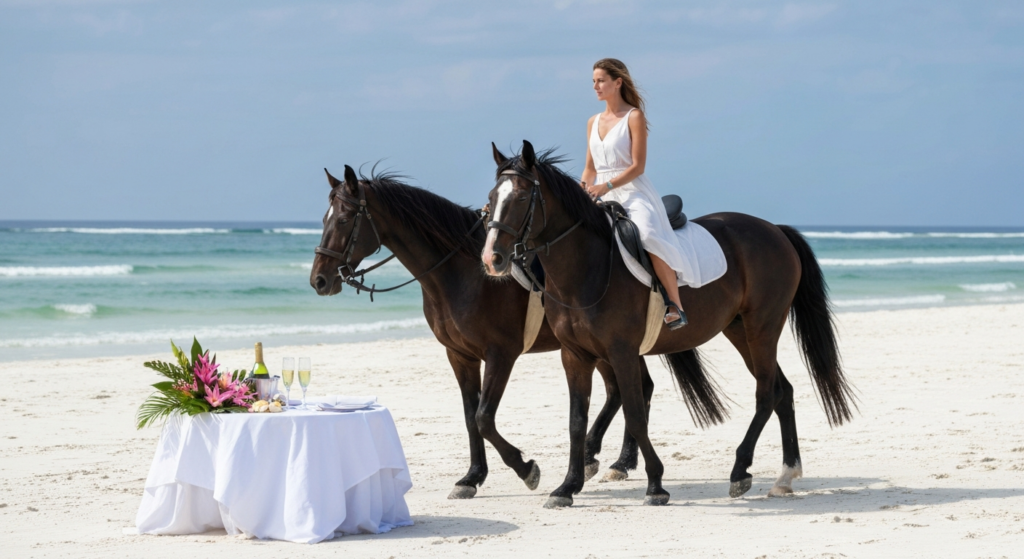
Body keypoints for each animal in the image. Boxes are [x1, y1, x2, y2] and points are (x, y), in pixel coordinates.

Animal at [309, 165, 723, 499]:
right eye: (324, 218)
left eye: (343, 220)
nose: (319, 280)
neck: (462, 271)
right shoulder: (459, 356)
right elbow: (470, 416)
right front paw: (472, 478)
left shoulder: (500, 353)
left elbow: (483, 417)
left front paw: (527, 470)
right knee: (630, 390)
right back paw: (613, 461)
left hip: (606, 348)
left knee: (630, 391)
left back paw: (607, 460)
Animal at [481, 141, 855, 508]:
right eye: (490, 200)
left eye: (520, 198)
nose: (492, 259)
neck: (588, 268)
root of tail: (775, 229)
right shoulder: (575, 355)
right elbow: (576, 421)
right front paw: (567, 487)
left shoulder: (622, 352)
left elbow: (635, 414)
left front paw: (656, 485)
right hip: (740, 330)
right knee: (783, 390)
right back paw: (785, 476)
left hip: (762, 327)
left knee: (767, 393)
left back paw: (740, 472)